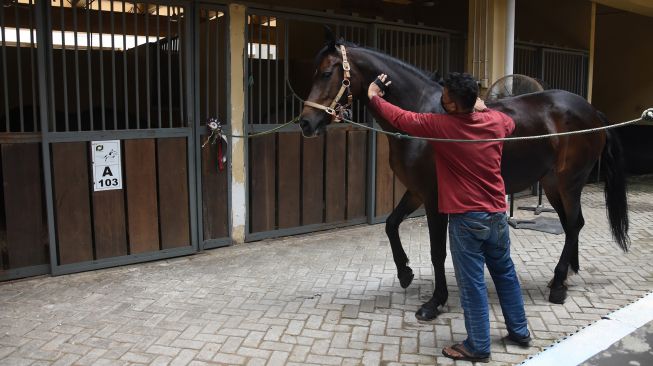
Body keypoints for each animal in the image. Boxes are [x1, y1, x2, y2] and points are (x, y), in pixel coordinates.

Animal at [298, 38, 628, 320]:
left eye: (326, 73)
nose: (305, 123)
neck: (420, 114)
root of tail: (592, 112)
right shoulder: (416, 192)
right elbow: (391, 224)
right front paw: (405, 273)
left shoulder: (434, 199)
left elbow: (436, 251)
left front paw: (435, 302)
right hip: (551, 184)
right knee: (572, 224)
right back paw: (566, 274)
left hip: (569, 183)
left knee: (572, 225)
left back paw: (559, 285)